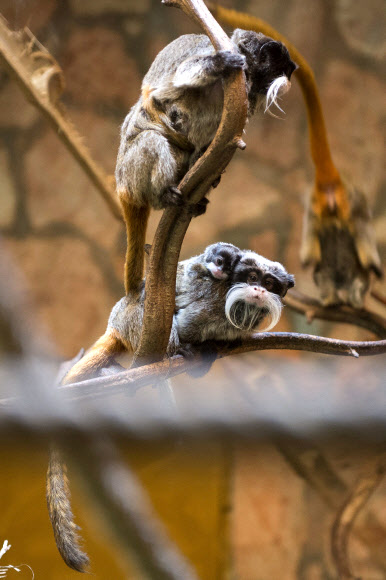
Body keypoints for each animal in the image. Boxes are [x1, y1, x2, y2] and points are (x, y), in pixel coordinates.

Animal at [116, 30, 298, 294]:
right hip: (132, 174)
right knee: (152, 138)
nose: (289, 82)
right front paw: (220, 64)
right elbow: (183, 73)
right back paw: (163, 194)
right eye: (283, 70)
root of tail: (124, 190)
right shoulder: (211, 51)